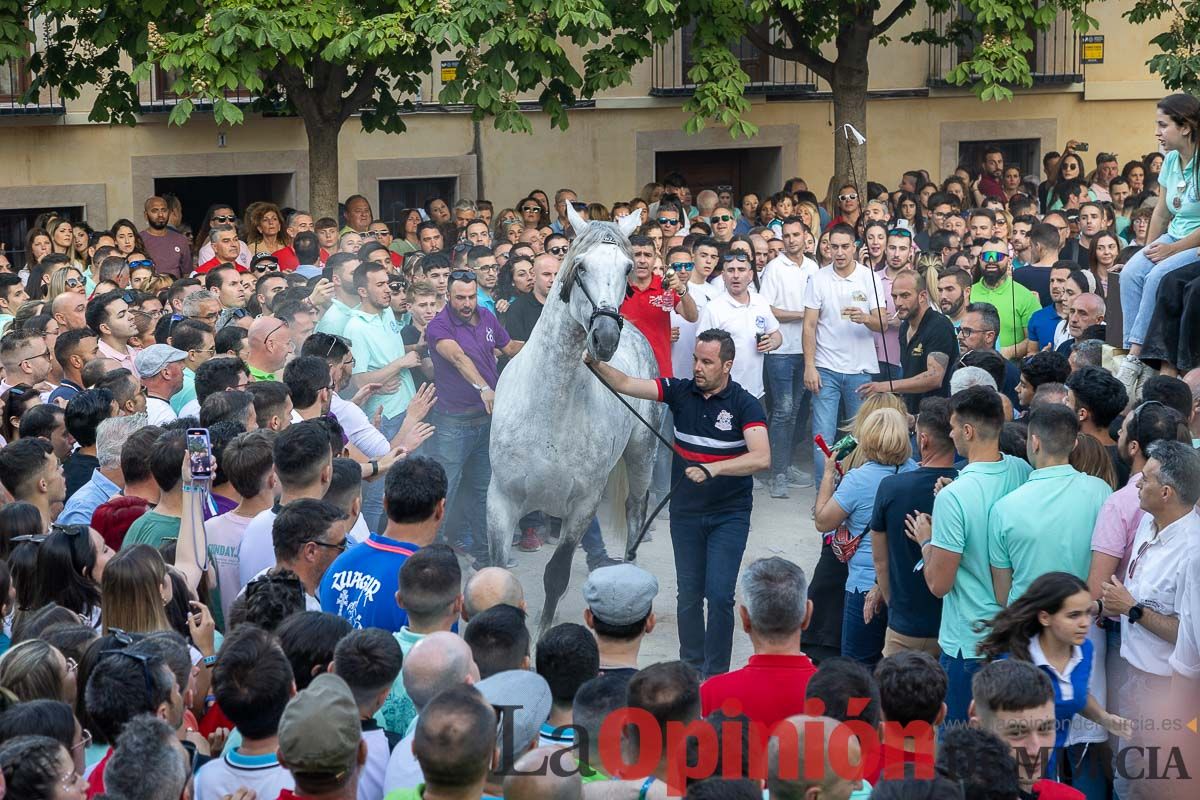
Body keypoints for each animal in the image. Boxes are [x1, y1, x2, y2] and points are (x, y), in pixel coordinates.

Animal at [482, 208, 662, 638]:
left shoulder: (583, 504)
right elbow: (496, 572)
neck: (550, 406)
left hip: (641, 454)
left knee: (636, 509)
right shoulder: (501, 499)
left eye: (628, 267)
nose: (605, 337)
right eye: (580, 266)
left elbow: (556, 574)